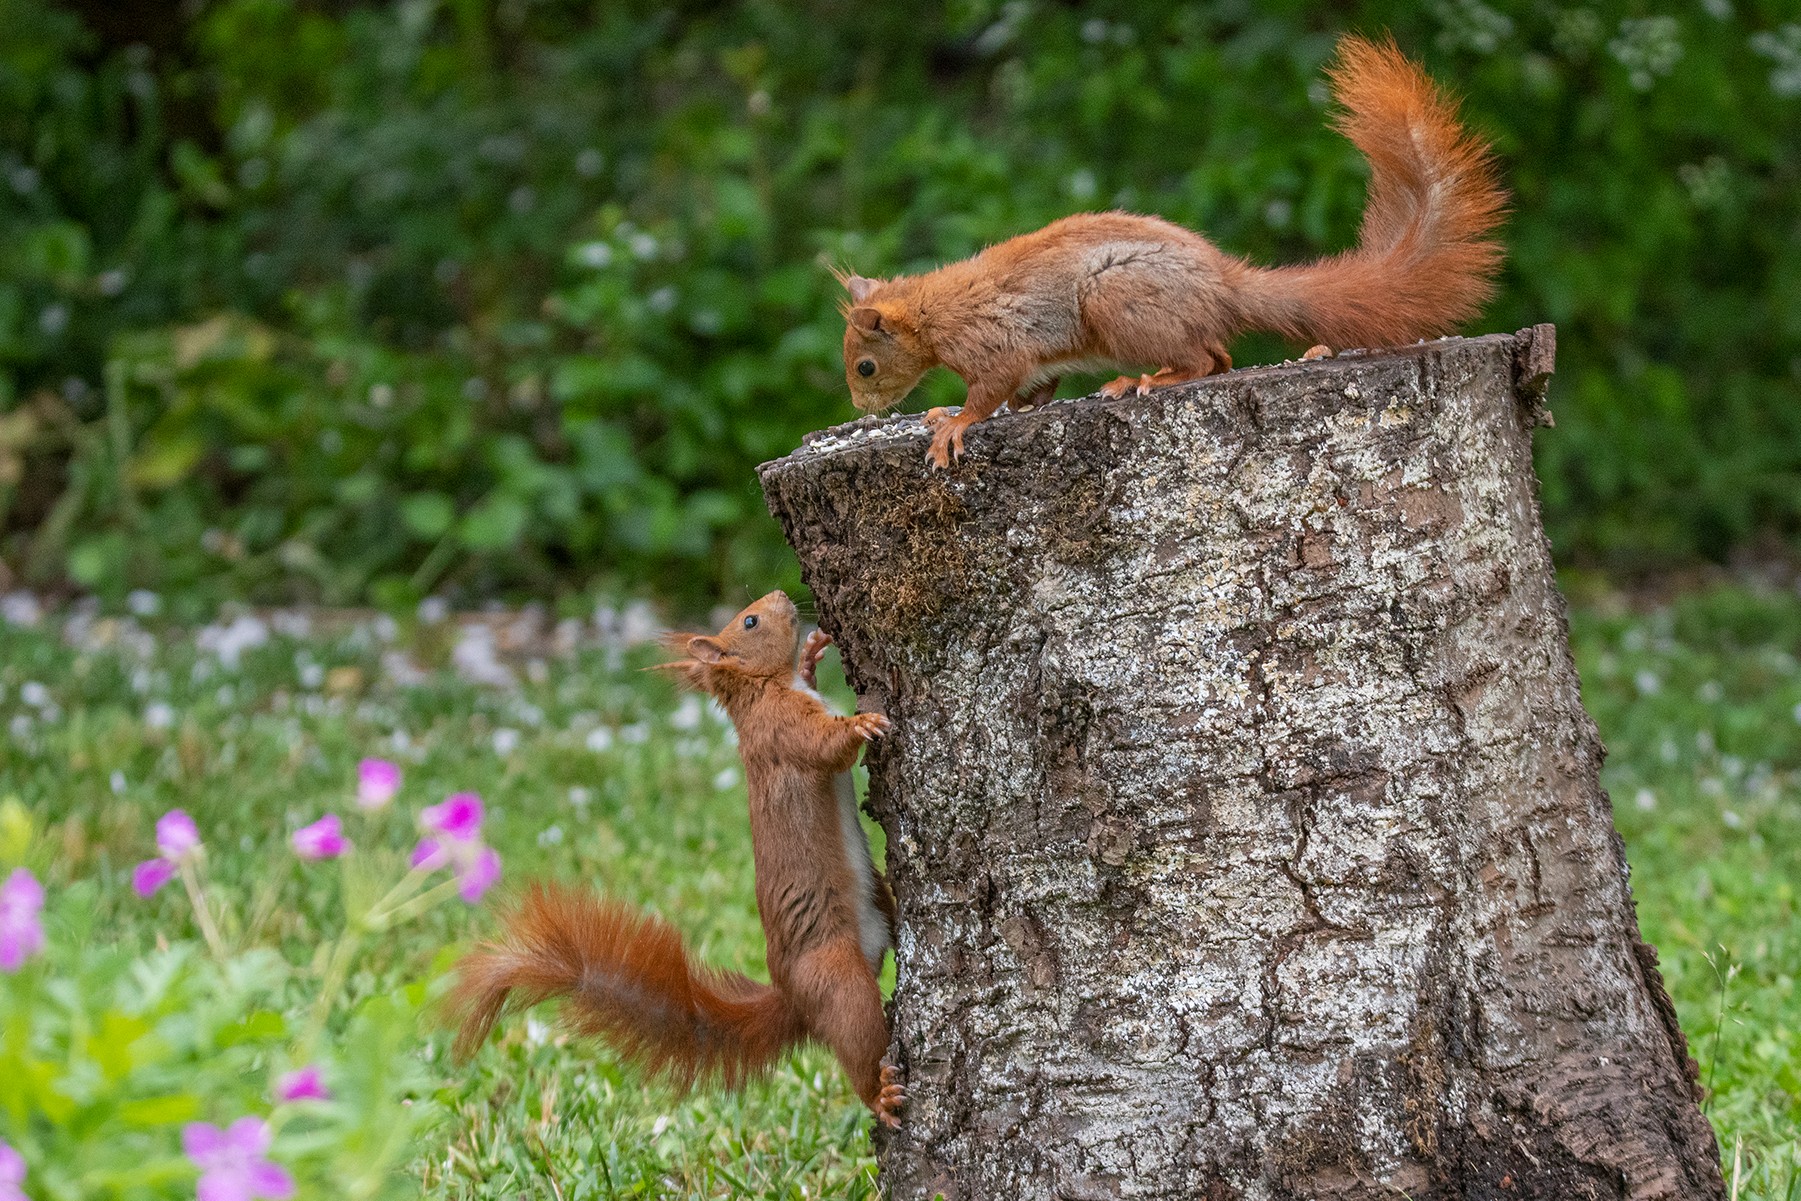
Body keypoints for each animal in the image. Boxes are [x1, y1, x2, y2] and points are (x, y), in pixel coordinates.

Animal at [444, 590, 907, 1130]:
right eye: (750, 621)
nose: (781, 596)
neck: (763, 689)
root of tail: (791, 997)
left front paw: (812, 656)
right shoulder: (782, 731)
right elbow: (826, 748)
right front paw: (861, 723)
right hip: (835, 977)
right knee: (856, 1040)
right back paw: (880, 1095)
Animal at [839, 35, 1505, 468]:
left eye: (865, 366)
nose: (861, 409)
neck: (931, 312)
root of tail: (1223, 285)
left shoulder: (992, 343)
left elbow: (990, 391)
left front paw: (954, 423)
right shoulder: (1037, 364)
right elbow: (1030, 394)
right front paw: (941, 414)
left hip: (1117, 299)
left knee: (1206, 360)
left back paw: (1145, 380)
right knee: (1221, 356)